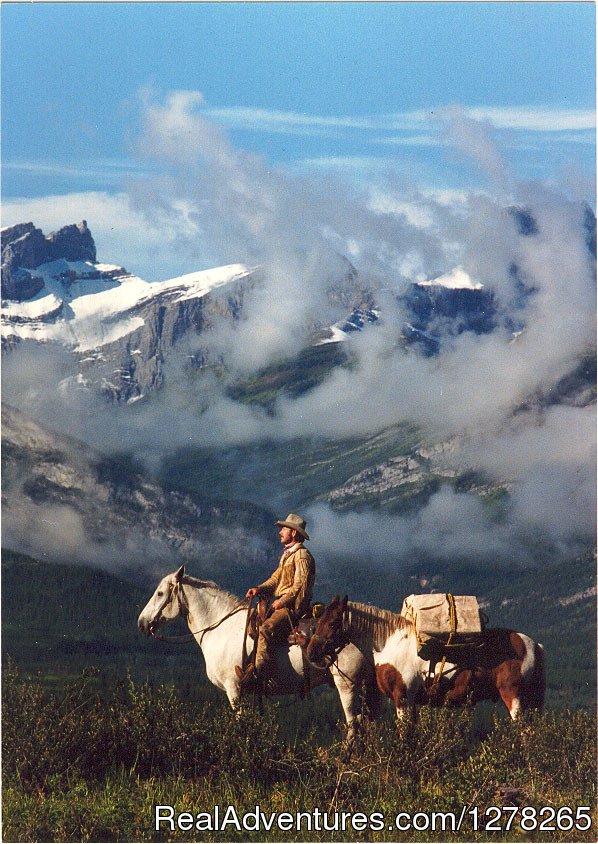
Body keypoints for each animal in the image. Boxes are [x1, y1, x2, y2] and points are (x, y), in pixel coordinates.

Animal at [138, 568, 382, 740]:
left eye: (160, 593)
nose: (142, 623)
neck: (220, 627)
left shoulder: (234, 688)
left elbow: (241, 723)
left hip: (347, 684)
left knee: (354, 725)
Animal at [310, 596, 548, 724]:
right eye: (318, 621)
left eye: (332, 623)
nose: (312, 651)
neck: (391, 643)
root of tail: (534, 645)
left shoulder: (402, 698)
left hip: (514, 697)